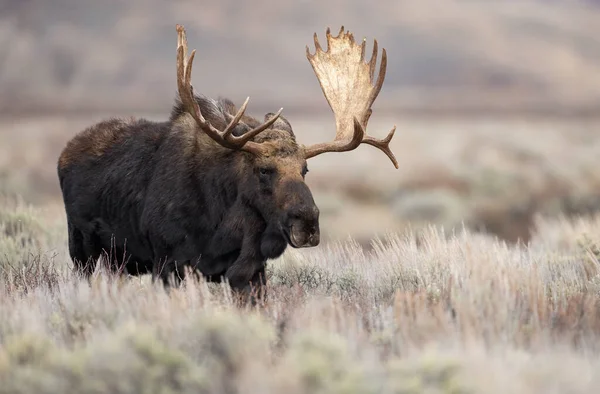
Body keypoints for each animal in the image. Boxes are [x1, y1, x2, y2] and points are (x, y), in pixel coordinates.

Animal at [56, 24, 398, 300]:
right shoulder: (169, 264)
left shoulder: (250, 273)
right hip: (83, 253)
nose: (308, 224)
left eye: (305, 169)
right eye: (264, 170)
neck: (224, 225)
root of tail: (64, 153)